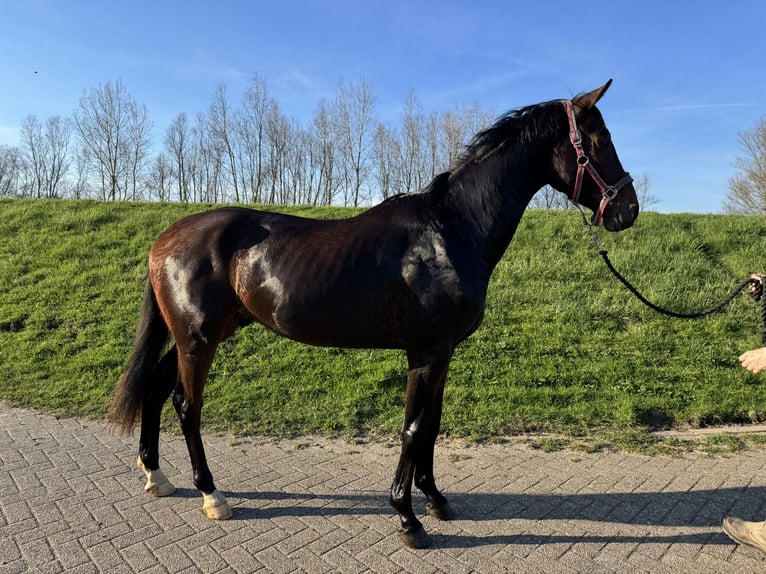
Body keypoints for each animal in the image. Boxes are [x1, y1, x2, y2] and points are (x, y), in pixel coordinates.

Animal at [109, 80, 639, 548]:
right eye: (599, 140)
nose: (627, 210)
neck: (451, 230)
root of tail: (164, 240)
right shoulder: (426, 351)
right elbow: (413, 428)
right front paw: (407, 519)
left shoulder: (441, 352)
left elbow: (431, 425)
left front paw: (435, 500)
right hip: (198, 340)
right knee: (186, 405)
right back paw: (212, 495)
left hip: (197, 336)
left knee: (155, 389)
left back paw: (157, 476)